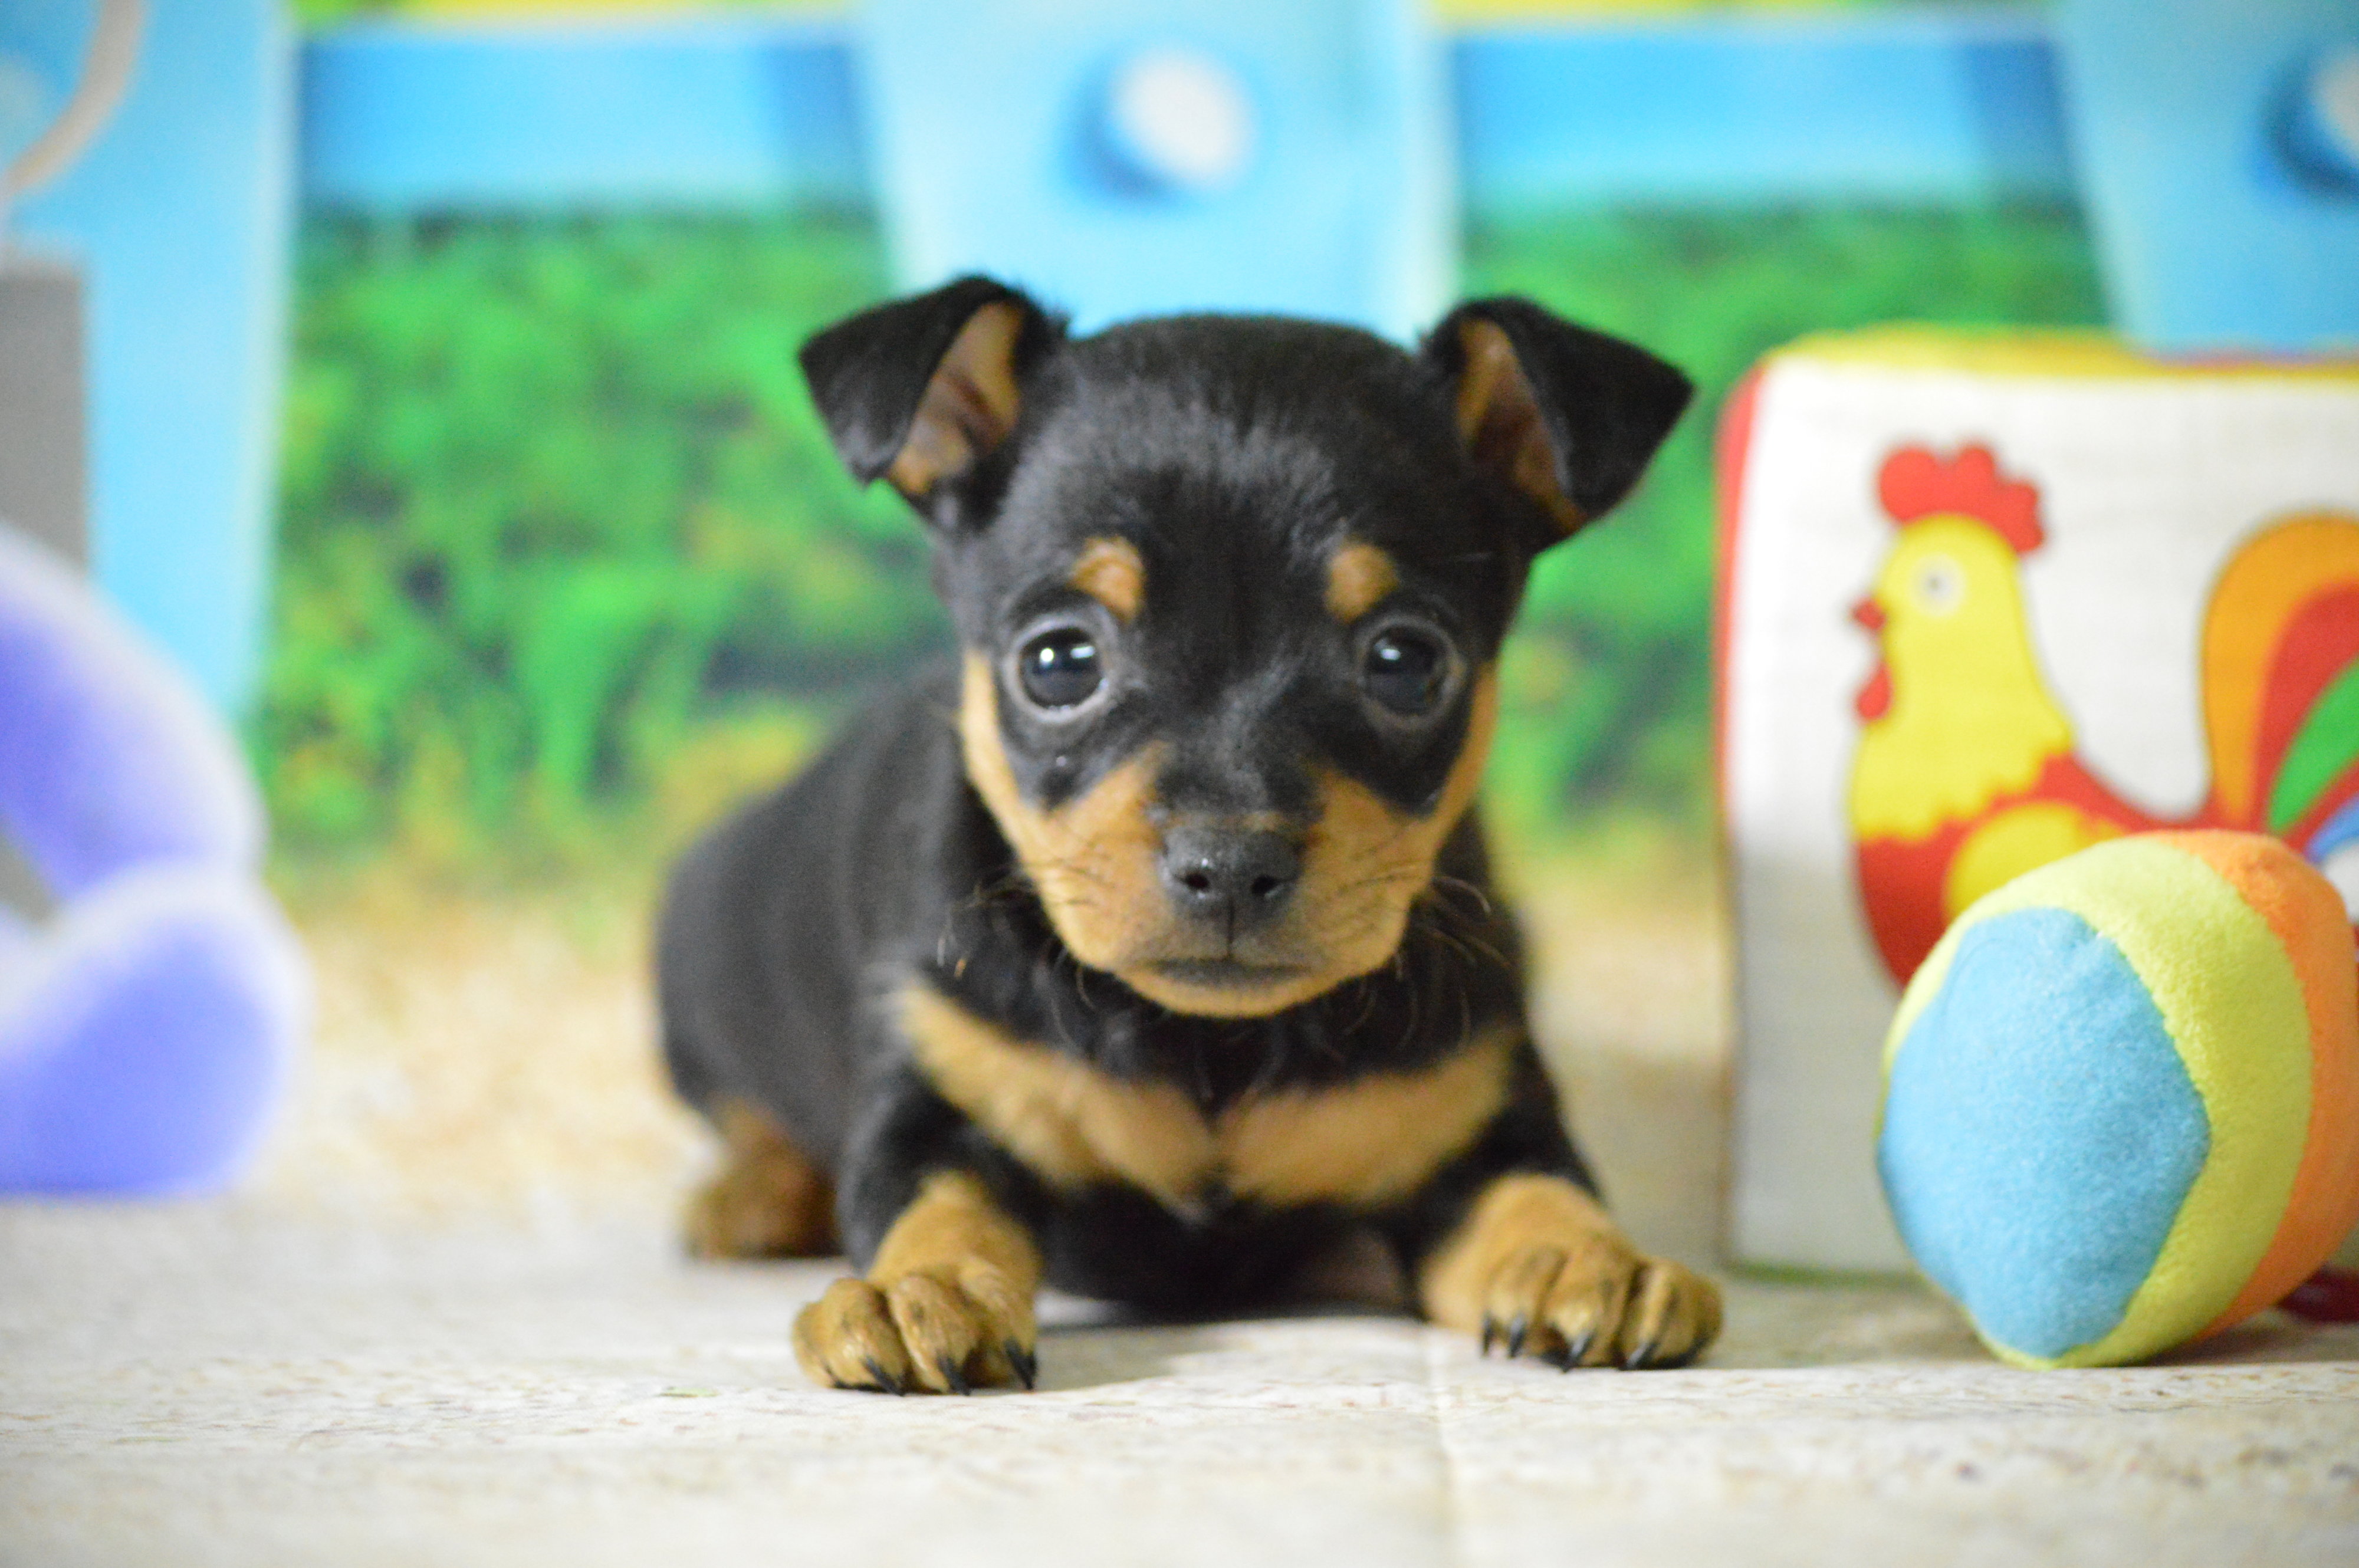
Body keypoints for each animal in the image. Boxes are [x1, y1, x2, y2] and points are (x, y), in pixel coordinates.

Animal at [656, 274, 1727, 1386]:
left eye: (1405, 661)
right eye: (1058, 662)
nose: (1231, 864)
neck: (1214, 1045)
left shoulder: (1476, 1127)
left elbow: (1539, 1191)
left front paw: (1591, 1261)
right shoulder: (941, 1108)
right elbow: (940, 1202)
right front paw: (922, 1289)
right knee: (753, 1117)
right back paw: (752, 1195)